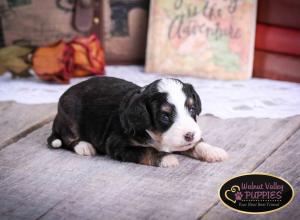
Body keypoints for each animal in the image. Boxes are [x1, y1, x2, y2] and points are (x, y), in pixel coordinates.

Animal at [48, 76, 229, 168]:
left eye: (192, 109)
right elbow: (146, 150)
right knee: (67, 138)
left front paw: (213, 151)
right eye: (165, 116)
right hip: (69, 115)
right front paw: (166, 159)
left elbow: (198, 144)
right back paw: (84, 146)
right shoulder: (117, 144)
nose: (189, 135)